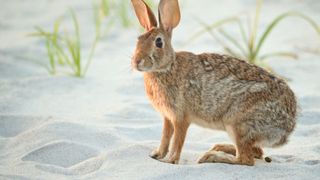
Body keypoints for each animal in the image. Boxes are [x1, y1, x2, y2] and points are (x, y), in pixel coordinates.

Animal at [130, 0, 298, 166]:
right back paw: (219, 147)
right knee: (256, 152)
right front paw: (156, 155)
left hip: (238, 124)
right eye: (138, 39)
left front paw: (171, 160)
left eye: (158, 42)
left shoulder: (181, 117)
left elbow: (177, 140)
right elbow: (165, 136)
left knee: (246, 159)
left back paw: (212, 156)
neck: (167, 67)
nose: (137, 61)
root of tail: (288, 126)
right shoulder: (168, 117)